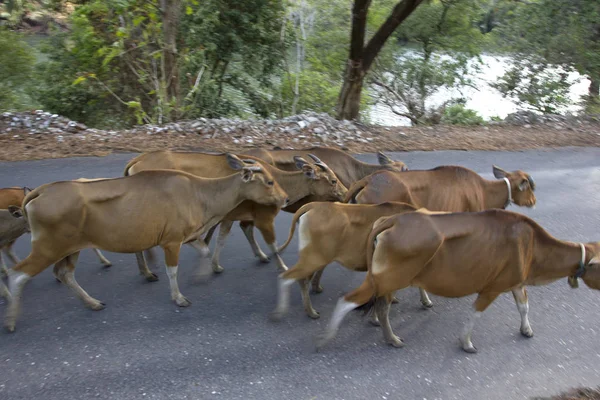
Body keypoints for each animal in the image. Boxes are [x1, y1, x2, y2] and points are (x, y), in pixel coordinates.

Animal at [2, 155, 288, 332]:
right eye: (270, 181)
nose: (285, 198)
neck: (200, 194)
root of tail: (40, 191)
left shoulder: (187, 236)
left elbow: (206, 250)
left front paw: (204, 274)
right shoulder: (171, 241)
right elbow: (173, 271)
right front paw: (179, 297)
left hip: (70, 248)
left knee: (64, 274)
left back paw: (92, 303)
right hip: (48, 247)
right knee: (17, 274)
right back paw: (11, 320)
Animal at [314, 209, 600, 354]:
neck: (533, 244)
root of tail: (393, 219)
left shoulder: (517, 281)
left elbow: (524, 306)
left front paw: (526, 329)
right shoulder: (492, 287)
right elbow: (475, 313)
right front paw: (466, 342)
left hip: (389, 280)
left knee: (381, 308)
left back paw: (391, 339)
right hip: (387, 277)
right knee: (349, 300)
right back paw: (327, 336)